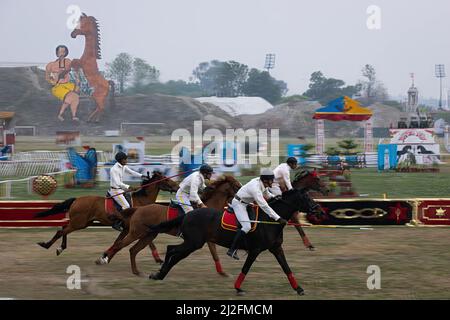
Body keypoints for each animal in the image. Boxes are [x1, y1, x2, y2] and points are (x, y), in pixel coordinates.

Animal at [35, 171, 179, 256]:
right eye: (166, 179)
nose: (177, 186)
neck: (142, 201)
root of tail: (77, 199)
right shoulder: (136, 228)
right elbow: (147, 243)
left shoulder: (128, 229)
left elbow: (117, 242)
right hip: (79, 223)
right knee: (61, 231)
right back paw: (47, 245)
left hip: (82, 223)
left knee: (64, 229)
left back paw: (60, 248)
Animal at [95, 174, 243, 276]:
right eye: (237, 185)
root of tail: (138, 209)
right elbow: (214, 253)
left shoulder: (208, 238)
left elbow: (214, 254)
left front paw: (222, 272)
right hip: (136, 232)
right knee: (120, 244)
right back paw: (105, 259)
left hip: (149, 235)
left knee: (132, 249)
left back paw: (134, 270)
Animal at [149, 188, 326, 296]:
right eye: (306, 197)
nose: (318, 210)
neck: (269, 220)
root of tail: (187, 214)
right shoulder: (255, 250)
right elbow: (245, 269)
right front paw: (238, 288)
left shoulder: (276, 249)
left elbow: (286, 268)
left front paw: (299, 288)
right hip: (193, 243)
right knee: (171, 249)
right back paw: (159, 273)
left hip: (193, 244)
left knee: (174, 253)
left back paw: (159, 275)